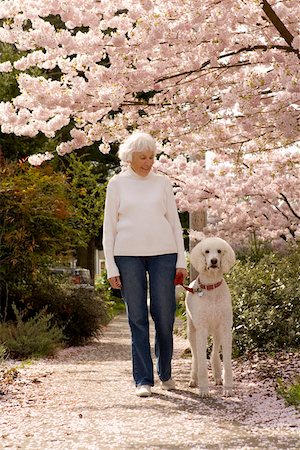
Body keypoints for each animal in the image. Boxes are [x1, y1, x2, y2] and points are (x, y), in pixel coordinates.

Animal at [185, 237, 237, 396]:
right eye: (206, 251)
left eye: (219, 251)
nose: (214, 261)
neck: (211, 287)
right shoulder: (201, 329)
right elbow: (202, 362)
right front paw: (203, 390)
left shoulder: (226, 328)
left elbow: (227, 362)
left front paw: (228, 388)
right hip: (192, 331)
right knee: (196, 356)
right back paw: (193, 379)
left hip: (216, 331)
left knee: (214, 354)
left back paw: (218, 376)